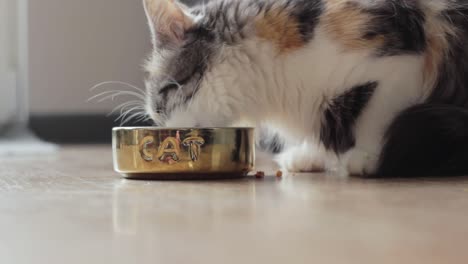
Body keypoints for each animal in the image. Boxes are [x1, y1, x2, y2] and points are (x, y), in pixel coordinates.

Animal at [141, 0, 468, 177]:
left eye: (163, 97)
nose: (166, 134)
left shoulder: (399, 64)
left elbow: (376, 115)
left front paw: (368, 157)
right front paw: (310, 155)